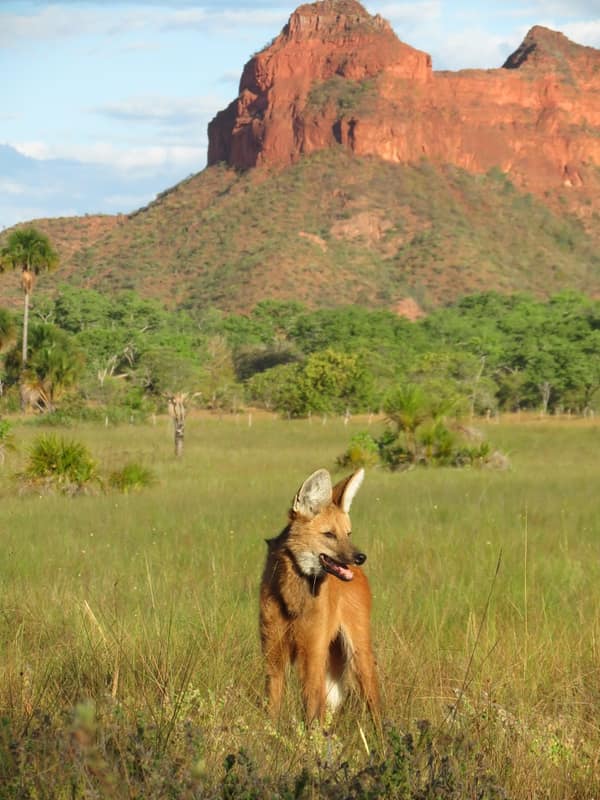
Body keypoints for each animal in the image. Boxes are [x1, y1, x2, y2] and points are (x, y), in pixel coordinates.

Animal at [259, 467, 379, 723]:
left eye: (348, 533)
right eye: (329, 534)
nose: (360, 557)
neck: (293, 597)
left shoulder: (312, 653)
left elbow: (313, 710)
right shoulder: (274, 656)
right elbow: (272, 710)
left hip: (358, 652)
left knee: (374, 703)